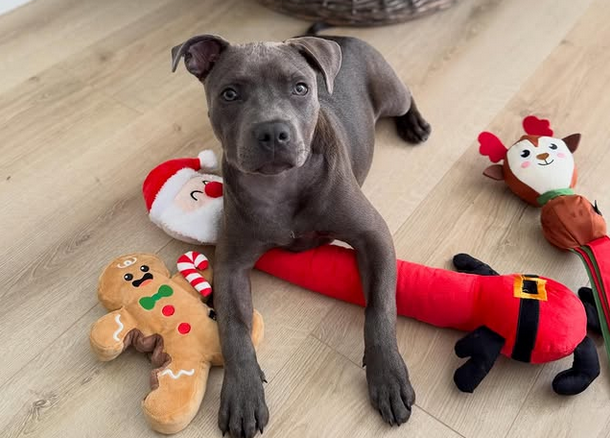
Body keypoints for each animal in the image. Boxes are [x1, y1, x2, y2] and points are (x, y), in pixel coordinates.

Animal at [171, 34, 431, 438]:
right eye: (230, 94)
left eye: (300, 88)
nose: (272, 132)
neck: (281, 184)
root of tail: (339, 36)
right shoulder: (231, 264)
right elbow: (233, 327)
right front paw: (243, 394)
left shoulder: (373, 236)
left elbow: (380, 308)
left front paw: (387, 375)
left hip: (391, 93)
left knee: (407, 96)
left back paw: (414, 124)